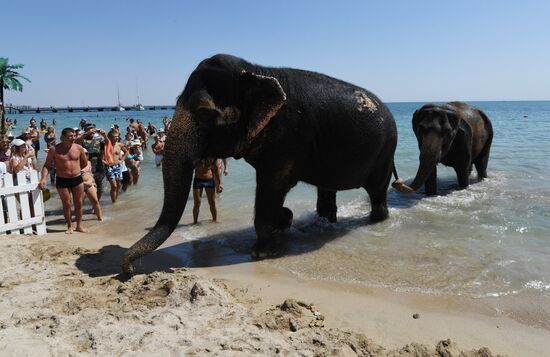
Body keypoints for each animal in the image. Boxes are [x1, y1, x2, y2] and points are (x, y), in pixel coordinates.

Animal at [123, 54, 404, 272]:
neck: (256, 70)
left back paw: (375, 221)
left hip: (386, 150)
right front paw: (284, 220)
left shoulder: (288, 135)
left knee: (377, 193)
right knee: (327, 191)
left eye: (203, 113)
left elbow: (272, 187)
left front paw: (261, 253)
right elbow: (272, 192)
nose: (129, 268)